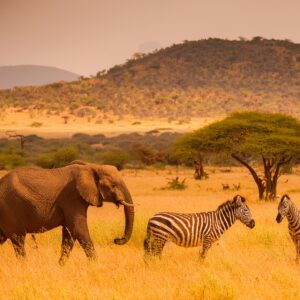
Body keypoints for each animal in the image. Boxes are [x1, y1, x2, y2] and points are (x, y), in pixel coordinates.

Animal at [0, 161, 134, 264]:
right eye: (113, 185)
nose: (117, 240)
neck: (92, 167)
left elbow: (69, 235)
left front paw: (60, 266)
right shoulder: (72, 199)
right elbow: (79, 230)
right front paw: (96, 266)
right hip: (9, 208)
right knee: (18, 240)